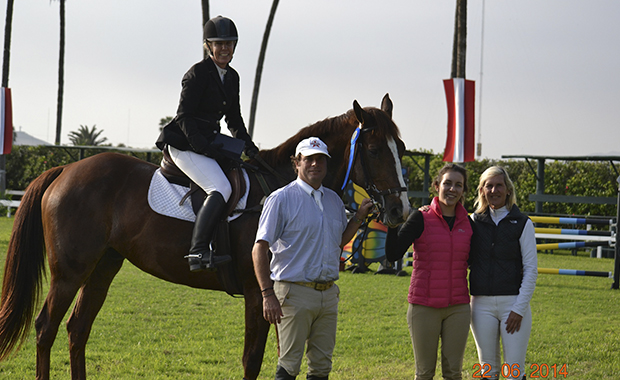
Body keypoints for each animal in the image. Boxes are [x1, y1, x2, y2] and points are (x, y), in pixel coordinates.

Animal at [0, 94, 410, 378]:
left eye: (402, 149)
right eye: (375, 150)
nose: (399, 210)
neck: (287, 184)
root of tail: (66, 168)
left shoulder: (281, 295)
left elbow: (284, 356)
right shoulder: (256, 293)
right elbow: (252, 360)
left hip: (102, 268)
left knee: (77, 329)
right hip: (69, 272)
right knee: (46, 328)